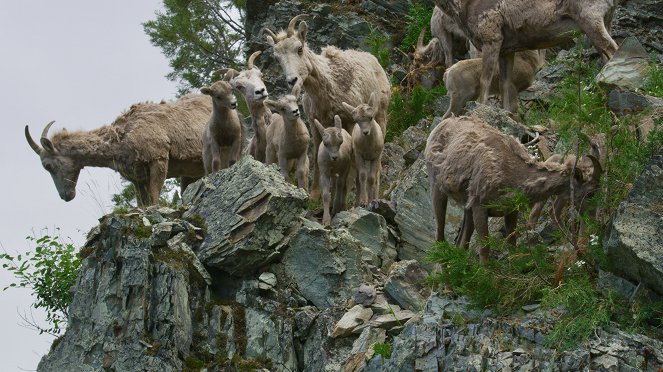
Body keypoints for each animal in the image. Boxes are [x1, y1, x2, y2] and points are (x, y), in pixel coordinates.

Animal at [25, 94, 213, 206]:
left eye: (48, 166)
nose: (65, 196)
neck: (121, 139)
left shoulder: (158, 158)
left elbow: (154, 200)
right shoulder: (138, 178)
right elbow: (142, 204)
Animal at [264, 15, 392, 198]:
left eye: (299, 49)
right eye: (277, 58)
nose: (292, 81)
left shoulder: (350, 121)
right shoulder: (316, 124)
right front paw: (314, 194)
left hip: (381, 116)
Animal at [426, 116, 600, 262]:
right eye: (590, 193)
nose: (593, 220)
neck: (510, 171)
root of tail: (442, 124)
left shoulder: (509, 211)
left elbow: (511, 244)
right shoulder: (480, 207)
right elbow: (484, 249)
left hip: (467, 209)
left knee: (462, 244)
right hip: (438, 190)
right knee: (439, 235)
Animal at [436, 0, 624, 112]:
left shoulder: (491, 42)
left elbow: (485, 81)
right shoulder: (506, 51)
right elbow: (504, 85)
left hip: (591, 20)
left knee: (612, 51)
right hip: (605, 22)